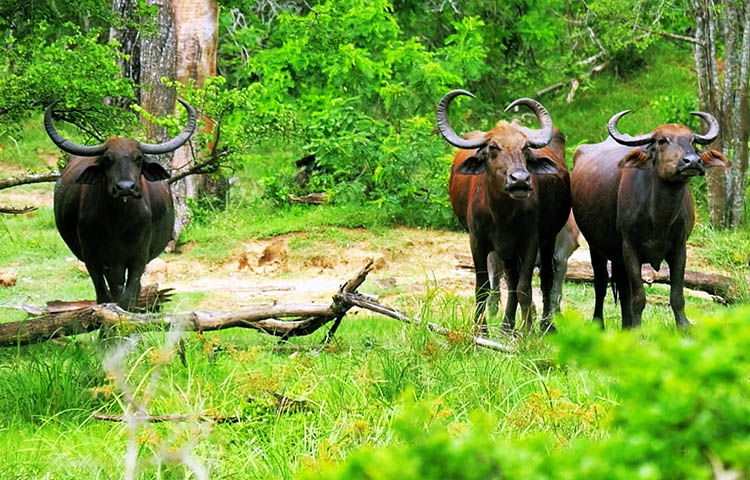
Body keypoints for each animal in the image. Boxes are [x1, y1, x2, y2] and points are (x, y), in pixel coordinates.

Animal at [44, 99, 197, 310]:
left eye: (138, 158)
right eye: (107, 159)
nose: (125, 187)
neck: (117, 223)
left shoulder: (138, 259)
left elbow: (128, 297)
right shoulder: (93, 259)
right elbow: (104, 296)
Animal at [438, 89, 572, 334]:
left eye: (525, 148)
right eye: (493, 148)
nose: (519, 179)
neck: (502, 215)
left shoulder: (530, 241)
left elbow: (524, 287)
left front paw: (528, 331)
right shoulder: (477, 241)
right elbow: (483, 287)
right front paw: (480, 330)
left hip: (548, 239)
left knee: (545, 278)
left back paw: (545, 326)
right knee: (510, 279)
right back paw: (507, 327)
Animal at [576, 110, 728, 328]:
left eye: (692, 141)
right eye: (662, 140)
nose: (692, 161)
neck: (659, 219)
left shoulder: (679, 249)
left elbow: (677, 295)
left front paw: (684, 327)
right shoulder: (630, 248)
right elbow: (639, 296)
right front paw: (637, 329)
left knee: (622, 286)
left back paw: (626, 325)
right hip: (595, 246)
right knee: (601, 283)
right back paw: (599, 324)